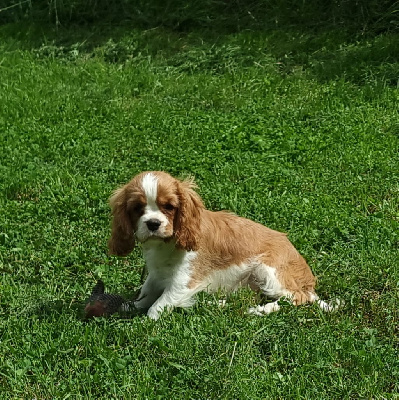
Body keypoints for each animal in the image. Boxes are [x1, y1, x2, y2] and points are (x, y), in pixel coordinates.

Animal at [108, 170, 338, 320]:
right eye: (137, 208)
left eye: (169, 207)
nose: (153, 223)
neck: (166, 244)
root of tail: (309, 281)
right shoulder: (156, 273)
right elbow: (146, 292)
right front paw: (131, 305)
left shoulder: (185, 278)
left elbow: (160, 303)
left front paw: (146, 320)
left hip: (269, 271)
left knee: (296, 298)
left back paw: (259, 310)